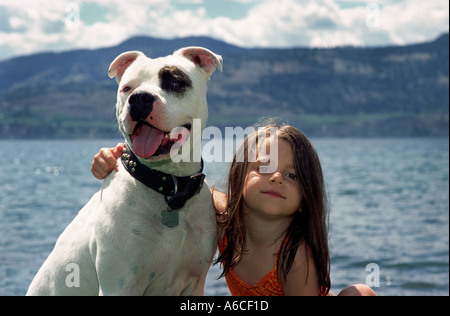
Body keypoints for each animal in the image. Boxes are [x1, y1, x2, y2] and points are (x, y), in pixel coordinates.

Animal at [25, 47, 221, 296]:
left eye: (175, 82)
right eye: (127, 88)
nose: (139, 98)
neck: (170, 187)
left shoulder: (194, 283)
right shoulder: (119, 285)